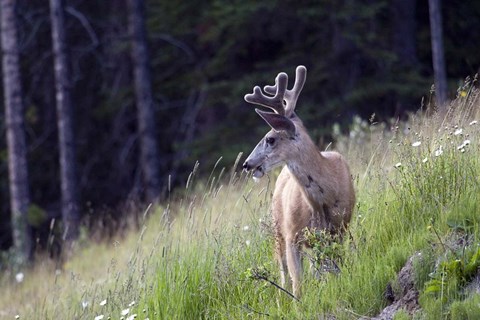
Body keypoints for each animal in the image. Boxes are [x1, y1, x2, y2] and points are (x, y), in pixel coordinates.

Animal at [242, 65, 354, 298]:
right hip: (278, 229)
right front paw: (299, 303)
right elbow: (298, 283)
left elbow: (337, 267)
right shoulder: (292, 234)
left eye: (270, 139)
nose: (246, 164)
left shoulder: (340, 229)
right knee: (283, 273)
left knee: (317, 268)